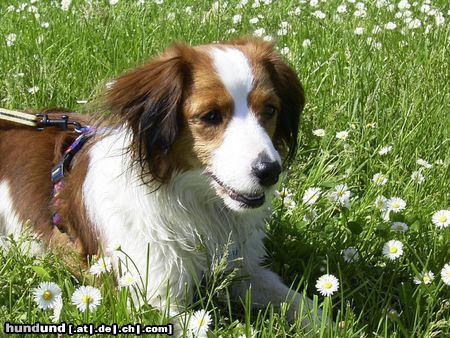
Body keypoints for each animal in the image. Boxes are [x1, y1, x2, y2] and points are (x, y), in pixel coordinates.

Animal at [0, 38, 316, 326]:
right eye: (211, 115)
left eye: (270, 109)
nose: (270, 171)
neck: (196, 205)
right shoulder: (151, 299)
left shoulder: (245, 270)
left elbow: (305, 305)